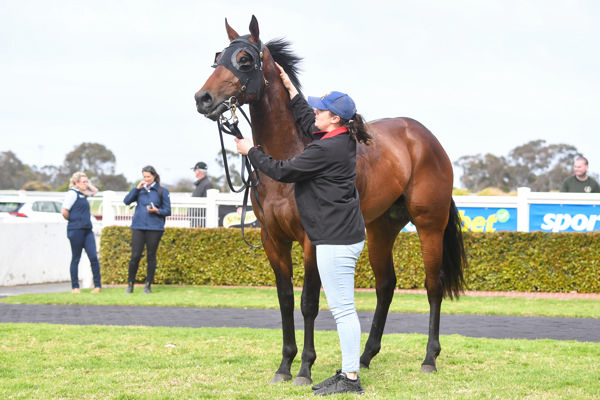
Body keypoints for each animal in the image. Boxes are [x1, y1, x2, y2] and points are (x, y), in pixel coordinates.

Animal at [195, 16, 466, 388]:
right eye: (218, 57)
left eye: (245, 60)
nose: (203, 98)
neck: (289, 155)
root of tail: (425, 137)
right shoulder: (273, 240)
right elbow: (285, 299)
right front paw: (284, 365)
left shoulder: (312, 240)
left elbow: (309, 302)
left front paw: (305, 369)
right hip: (380, 228)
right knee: (386, 285)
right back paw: (365, 357)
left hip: (429, 225)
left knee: (433, 284)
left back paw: (429, 358)